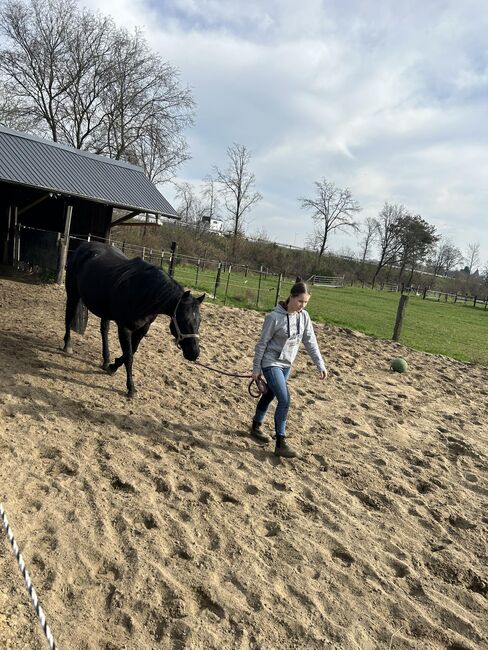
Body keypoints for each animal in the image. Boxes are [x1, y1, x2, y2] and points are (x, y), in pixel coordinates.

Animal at [63, 239, 204, 394]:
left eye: (199, 321)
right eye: (183, 320)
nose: (194, 353)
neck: (144, 291)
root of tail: (84, 246)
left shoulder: (143, 329)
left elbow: (132, 351)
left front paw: (113, 366)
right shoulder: (124, 328)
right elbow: (129, 355)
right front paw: (131, 387)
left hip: (104, 309)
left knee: (104, 330)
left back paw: (106, 361)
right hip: (73, 294)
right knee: (69, 317)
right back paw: (67, 345)